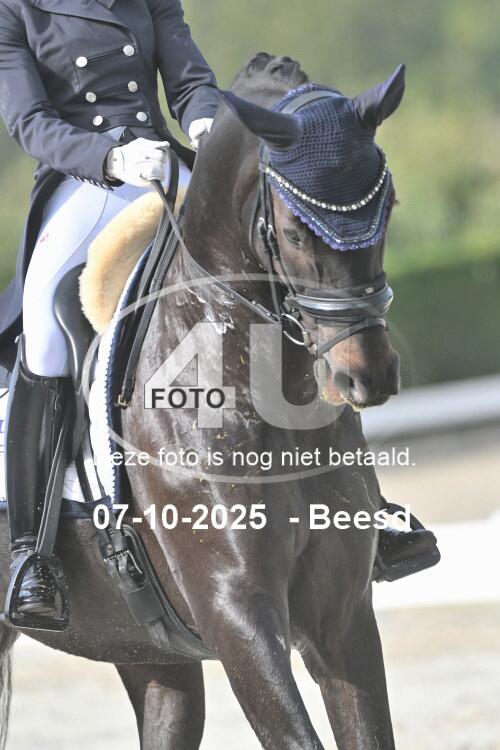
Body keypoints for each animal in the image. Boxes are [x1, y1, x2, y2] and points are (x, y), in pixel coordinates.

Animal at [0, 53, 402, 749]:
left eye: (390, 203)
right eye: (296, 231)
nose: (367, 375)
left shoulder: (343, 615)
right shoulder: (235, 615)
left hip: (148, 653)